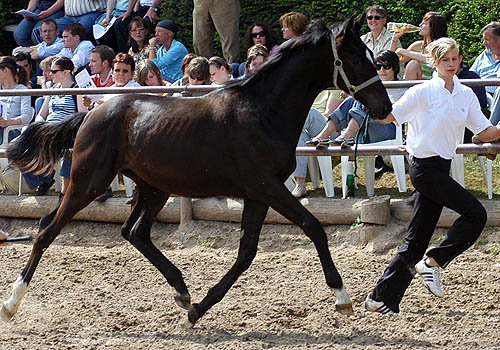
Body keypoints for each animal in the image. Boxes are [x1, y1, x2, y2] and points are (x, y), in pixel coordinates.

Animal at [1, 17, 392, 326]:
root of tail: (92, 113)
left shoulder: (258, 194)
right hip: (89, 182)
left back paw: (182, 292)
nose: (384, 107)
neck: (261, 113)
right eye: (355, 57)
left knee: (134, 233)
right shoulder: (267, 187)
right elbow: (313, 228)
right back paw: (11, 304)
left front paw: (198, 309)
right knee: (47, 230)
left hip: (153, 188)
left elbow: (246, 253)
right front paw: (342, 298)